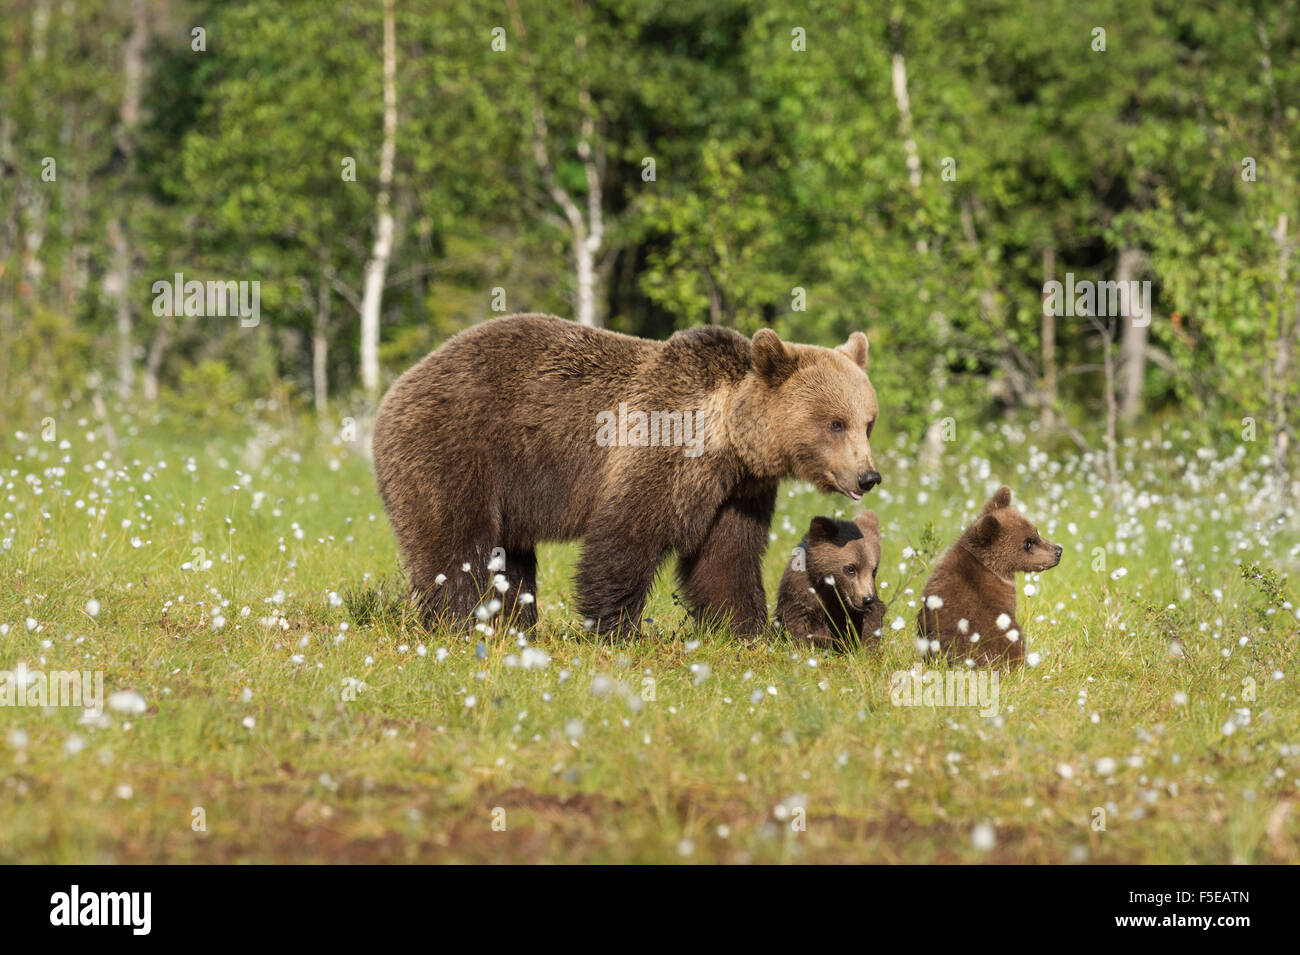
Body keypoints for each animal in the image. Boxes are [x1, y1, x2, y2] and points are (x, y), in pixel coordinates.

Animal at [377, 317, 883, 639]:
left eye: (868, 422)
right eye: (835, 422)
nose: (868, 476)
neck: (727, 439)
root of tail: (400, 383)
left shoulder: (736, 491)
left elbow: (725, 558)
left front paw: (742, 629)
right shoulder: (663, 449)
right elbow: (628, 535)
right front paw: (614, 627)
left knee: (511, 557)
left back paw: (513, 624)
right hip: (459, 449)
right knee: (456, 543)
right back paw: (462, 622)